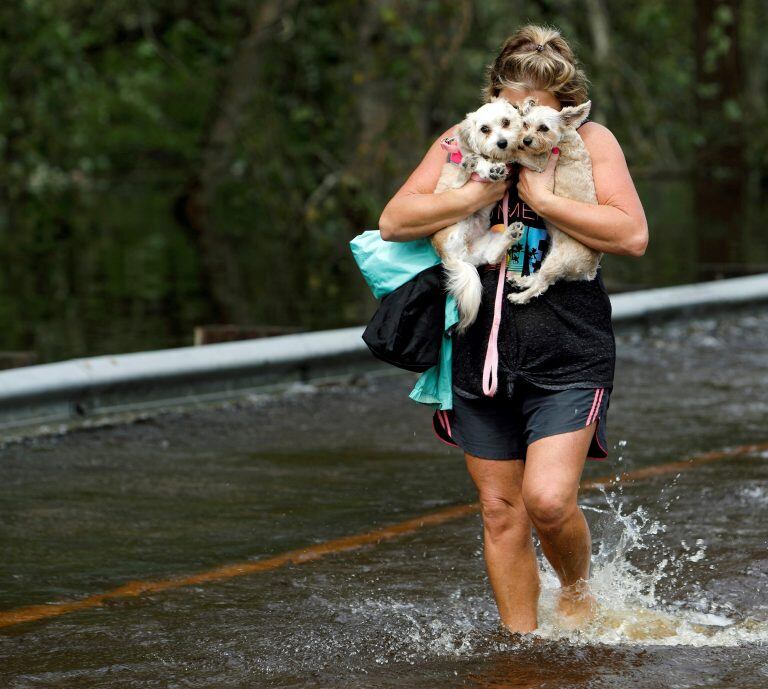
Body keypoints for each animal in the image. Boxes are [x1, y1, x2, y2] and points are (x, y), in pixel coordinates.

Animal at [428, 97, 524, 334]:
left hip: (486, 243)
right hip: (453, 209)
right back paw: (470, 166)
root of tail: (453, 257)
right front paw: (491, 169)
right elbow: (481, 162)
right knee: (461, 178)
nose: (502, 143)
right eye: (484, 129)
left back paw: (512, 233)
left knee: (492, 256)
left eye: (506, 122)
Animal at [508, 97, 604, 304]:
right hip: (551, 256)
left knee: (541, 285)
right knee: (539, 278)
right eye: (525, 124)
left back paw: (519, 297)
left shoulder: (539, 163)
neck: (563, 137)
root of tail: (590, 270)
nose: (526, 140)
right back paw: (522, 281)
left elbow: (518, 154)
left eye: (543, 128)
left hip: (556, 261)